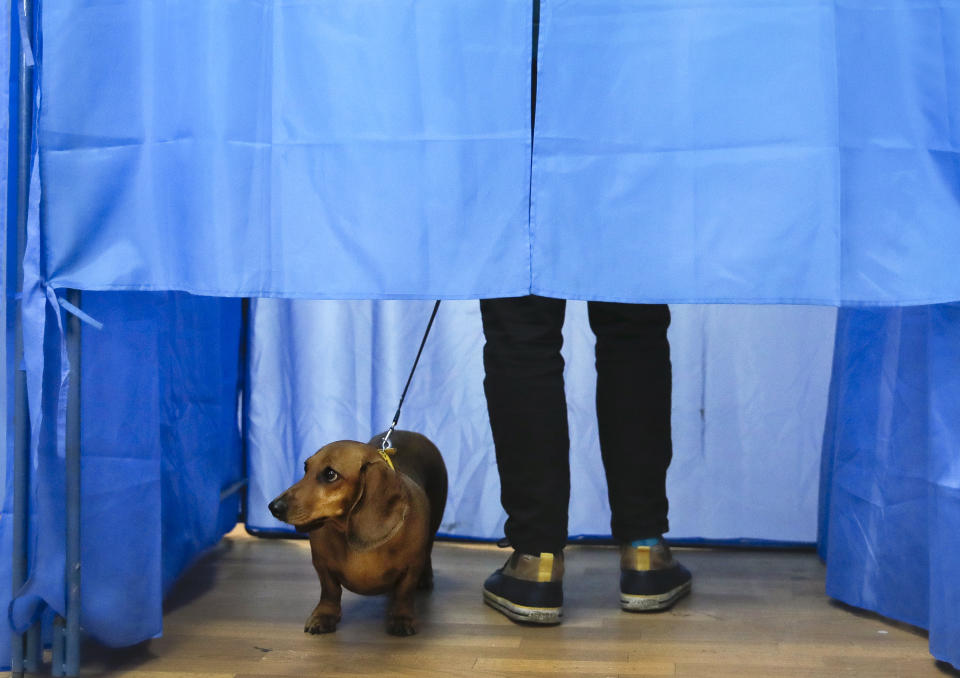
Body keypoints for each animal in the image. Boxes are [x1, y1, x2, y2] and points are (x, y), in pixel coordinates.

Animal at [268, 430, 448, 636]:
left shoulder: (411, 568)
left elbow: (404, 594)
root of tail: (411, 432)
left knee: (428, 552)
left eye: (330, 474)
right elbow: (330, 591)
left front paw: (402, 619)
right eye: (306, 468)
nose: (273, 507)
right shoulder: (322, 566)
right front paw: (323, 616)